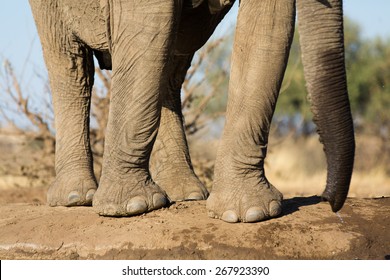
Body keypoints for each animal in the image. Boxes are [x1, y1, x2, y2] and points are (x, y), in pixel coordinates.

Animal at [29, 0, 354, 223]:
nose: (327, 200)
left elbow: (269, 24)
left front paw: (250, 214)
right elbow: (148, 24)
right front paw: (130, 208)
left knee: (170, 62)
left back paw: (187, 194)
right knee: (71, 67)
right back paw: (75, 198)